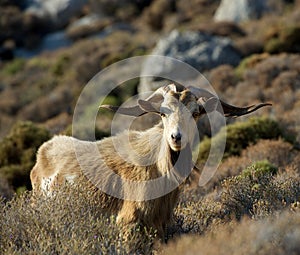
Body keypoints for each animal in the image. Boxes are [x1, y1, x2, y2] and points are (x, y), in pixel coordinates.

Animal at [29, 84, 270, 238]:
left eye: (195, 113)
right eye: (163, 113)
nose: (176, 137)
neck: (159, 169)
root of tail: (43, 152)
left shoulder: (159, 223)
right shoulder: (127, 221)